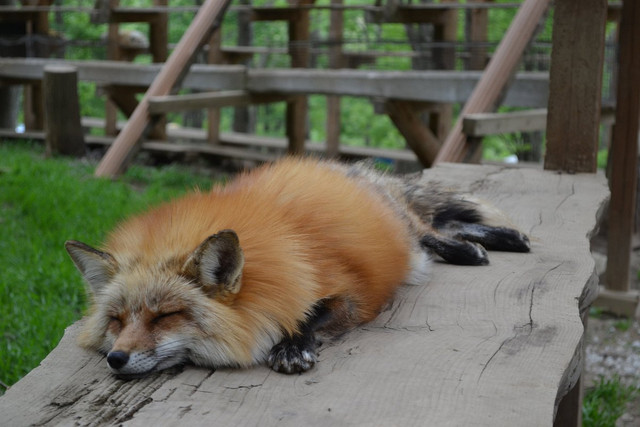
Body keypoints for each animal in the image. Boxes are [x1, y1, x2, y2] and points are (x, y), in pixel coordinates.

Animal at [65, 157, 530, 378]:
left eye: (166, 316)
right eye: (116, 320)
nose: (117, 359)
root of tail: (343, 167)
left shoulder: (353, 294)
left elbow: (310, 313)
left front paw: (291, 347)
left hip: (402, 227)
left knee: (433, 231)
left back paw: (484, 245)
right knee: (442, 224)